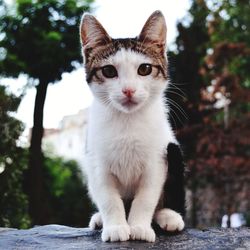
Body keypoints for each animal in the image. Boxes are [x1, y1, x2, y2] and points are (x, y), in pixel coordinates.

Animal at [80, 10, 186, 242]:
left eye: (144, 69)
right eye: (109, 71)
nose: (128, 90)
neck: (127, 121)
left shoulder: (157, 163)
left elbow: (146, 198)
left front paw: (139, 227)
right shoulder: (98, 164)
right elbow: (109, 198)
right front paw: (116, 227)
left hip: (173, 150)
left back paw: (169, 216)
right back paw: (100, 218)